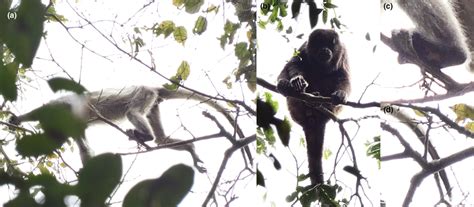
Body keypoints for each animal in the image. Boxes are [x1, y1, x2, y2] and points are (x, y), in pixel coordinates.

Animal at [10, 85, 244, 173]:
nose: (54, 139)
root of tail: (153, 87)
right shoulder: (75, 127)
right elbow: (85, 150)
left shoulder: (68, 106)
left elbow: (48, 108)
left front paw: (17, 120)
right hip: (153, 104)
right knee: (161, 139)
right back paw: (190, 150)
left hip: (144, 94)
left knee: (133, 112)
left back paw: (145, 136)